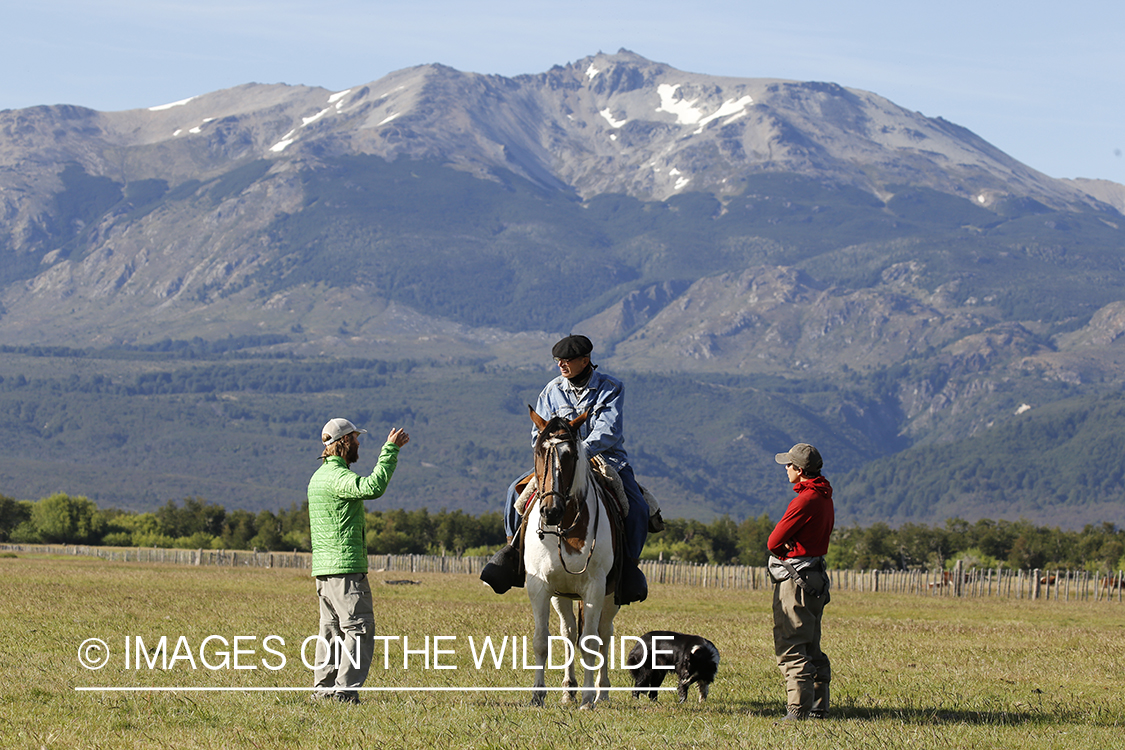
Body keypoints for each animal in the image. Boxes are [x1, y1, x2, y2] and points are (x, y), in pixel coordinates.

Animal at [522, 407, 621, 706]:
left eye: (570, 455)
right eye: (538, 451)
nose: (550, 511)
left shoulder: (595, 588)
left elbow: (590, 642)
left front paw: (588, 698)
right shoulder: (540, 586)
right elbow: (542, 640)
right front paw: (537, 694)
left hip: (611, 595)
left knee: (604, 634)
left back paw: (602, 692)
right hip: (562, 594)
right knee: (568, 632)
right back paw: (568, 689)